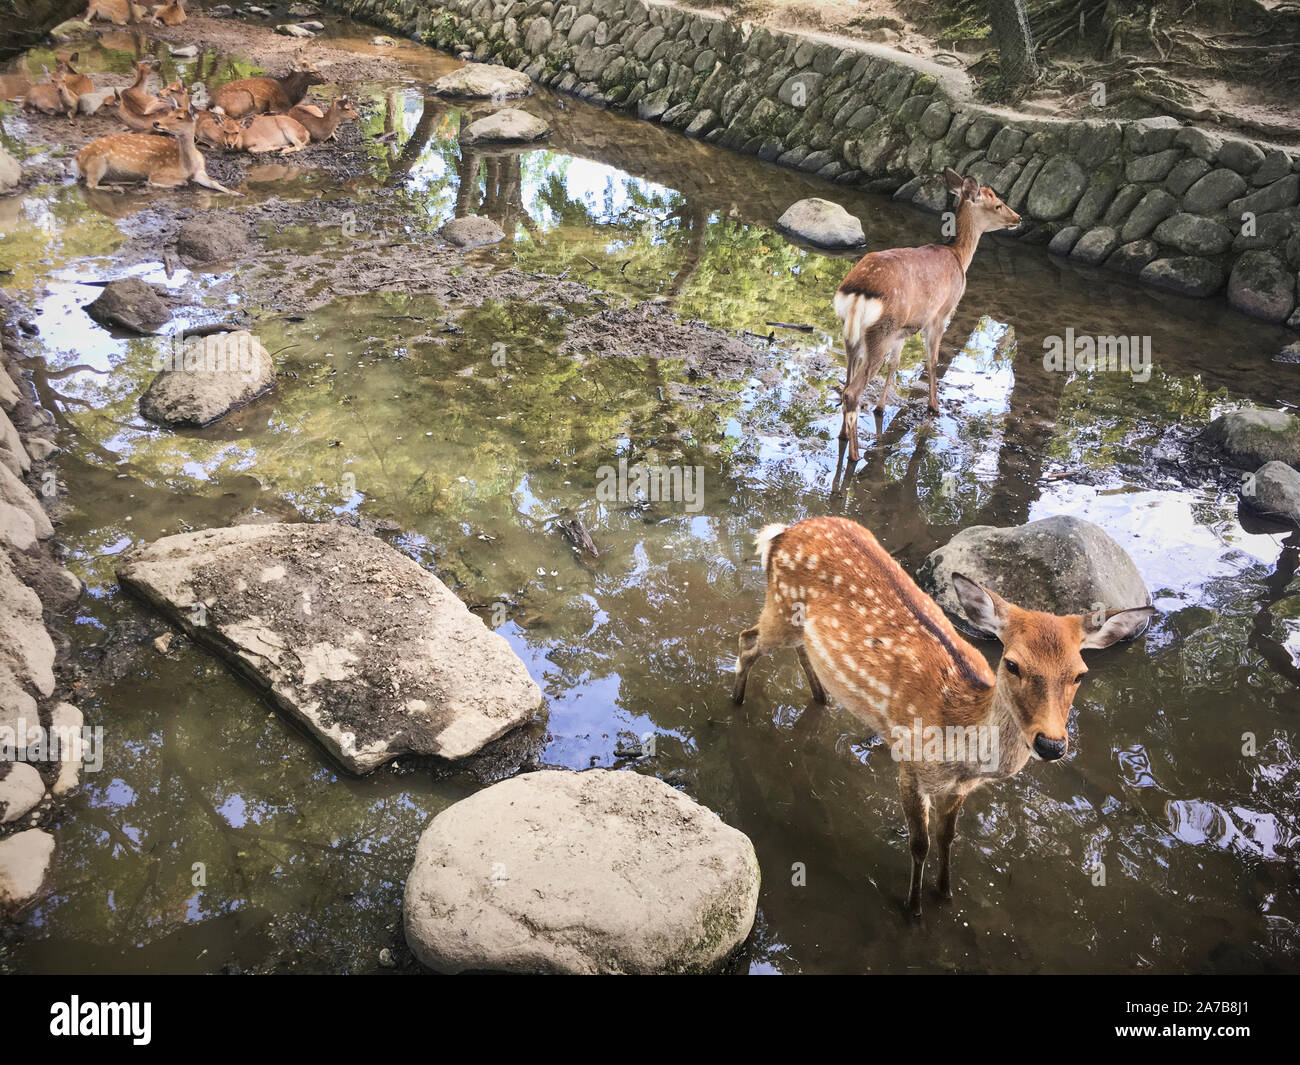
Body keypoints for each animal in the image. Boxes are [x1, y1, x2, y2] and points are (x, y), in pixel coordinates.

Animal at [738, 517, 1154, 915]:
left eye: (1079, 674)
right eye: (1012, 663)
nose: (1051, 744)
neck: (957, 744)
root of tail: (781, 533)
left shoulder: (959, 788)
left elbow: (948, 837)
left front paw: (945, 892)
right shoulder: (909, 765)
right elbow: (919, 843)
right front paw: (914, 907)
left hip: (797, 625)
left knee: (795, 649)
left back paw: (821, 698)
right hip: (780, 606)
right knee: (746, 639)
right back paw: (737, 703)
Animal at [832, 169, 1024, 460]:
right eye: (998, 204)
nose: (1018, 218)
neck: (959, 257)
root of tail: (857, 292)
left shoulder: (903, 331)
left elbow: (895, 364)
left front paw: (881, 407)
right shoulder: (940, 312)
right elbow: (933, 361)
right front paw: (934, 406)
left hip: (854, 334)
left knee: (845, 385)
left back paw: (844, 435)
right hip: (881, 332)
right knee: (853, 392)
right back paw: (855, 454)